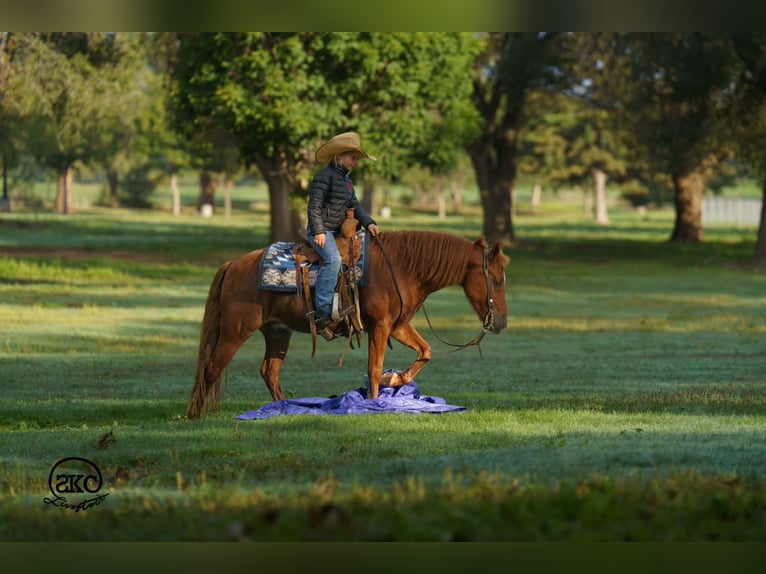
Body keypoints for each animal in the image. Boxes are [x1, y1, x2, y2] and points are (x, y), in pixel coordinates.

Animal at [186, 230, 510, 418]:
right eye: (496, 280)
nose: (502, 322)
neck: (403, 266)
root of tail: (233, 265)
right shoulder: (380, 326)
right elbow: (374, 368)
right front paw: (374, 403)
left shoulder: (398, 324)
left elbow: (425, 351)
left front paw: (395, 380)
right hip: (234, 331)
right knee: (211, 367)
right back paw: (194, 415)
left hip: (277, 333)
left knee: (269, 372)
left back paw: (284, 408)